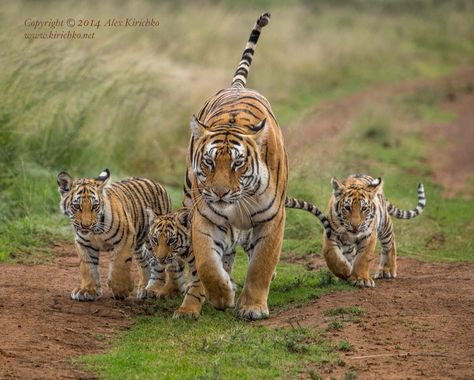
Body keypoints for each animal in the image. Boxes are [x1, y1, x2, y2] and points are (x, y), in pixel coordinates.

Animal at [56, 171, 170, 302]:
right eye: (76, 206)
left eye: (94, 206)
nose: (86, 225)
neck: (95, 231)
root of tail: (154, 181)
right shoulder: (84, 243)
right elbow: (88, 267)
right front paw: (87, 290)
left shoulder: (125, 238)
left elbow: (119, 264)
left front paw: (121, 290)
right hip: (138, 246)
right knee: (146, 259)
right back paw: (144, 288)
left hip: (154, 241)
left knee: (158, 264)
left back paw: (153, 289)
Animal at [181, 12, 286, 320]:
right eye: (209, 162)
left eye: (238, 164)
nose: (219, 193)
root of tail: (236, 87)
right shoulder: (205, 217)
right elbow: (206, 264)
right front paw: (222, 295)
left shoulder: (272, 219)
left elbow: (261, 264)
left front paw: (252, 308)